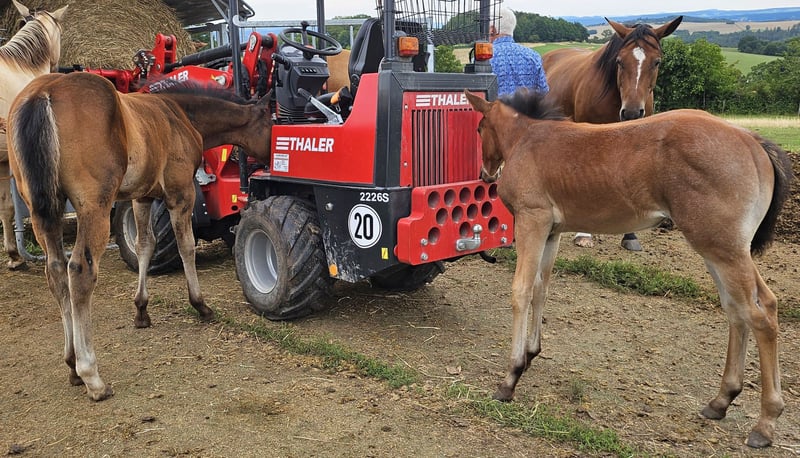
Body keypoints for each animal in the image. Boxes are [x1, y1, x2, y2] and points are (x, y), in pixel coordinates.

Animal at [8, 71, 273, 401]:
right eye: (272, 122)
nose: (273, 157)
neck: (181, 114)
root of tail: (41, 93)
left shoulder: (142, 197)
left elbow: (145, 245)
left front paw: (141, 310)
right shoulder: (180, 193)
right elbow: (186, 246)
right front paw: (200, 304)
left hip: (42, 210)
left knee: (56, 271)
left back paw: (71, 365)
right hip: (93, 206)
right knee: (79, 270)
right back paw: (91, 375)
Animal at [464, 88, 792, 448]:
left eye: (479, 128)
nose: (485, 174)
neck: (527, 138)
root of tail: (752, 140)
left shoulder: (532, 220)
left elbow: (521, 292)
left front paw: (510, 377)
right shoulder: (552, 230)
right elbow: (542, 288)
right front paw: (532, 352)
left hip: (723, 249)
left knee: (758, 316)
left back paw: (765, 422)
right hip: (722, 249)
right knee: (744, 308)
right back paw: (721, 400)